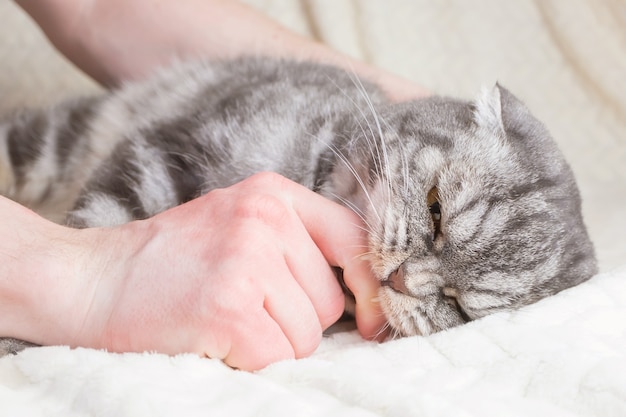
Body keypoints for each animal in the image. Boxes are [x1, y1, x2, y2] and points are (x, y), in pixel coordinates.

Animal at [0, 57, 596, 352]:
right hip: (56, 141)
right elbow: (99, 224)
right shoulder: (164, 149)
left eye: (460, 307)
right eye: (435, 210)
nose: (403, 280)